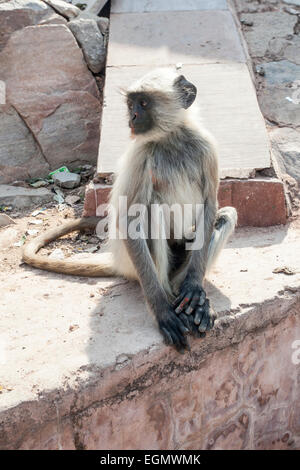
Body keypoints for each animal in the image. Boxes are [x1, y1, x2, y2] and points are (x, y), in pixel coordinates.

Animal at [22, 68, 238, 350]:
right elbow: (128, 221)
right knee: (151, 209)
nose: (132, 117)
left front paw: (194, 288)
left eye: (143, 103)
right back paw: (168, 298)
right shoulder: (141, 155)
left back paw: (193, 299)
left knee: (225, 216)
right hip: (135, 264)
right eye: (131, 104)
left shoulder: (206, 147)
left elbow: (210, 205)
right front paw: (162, 312)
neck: (170, 138)